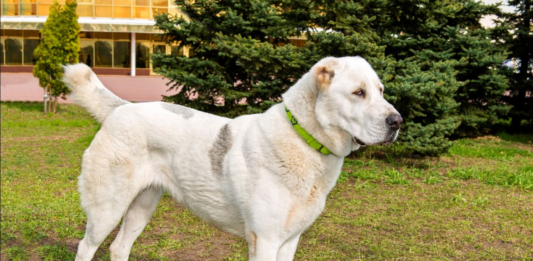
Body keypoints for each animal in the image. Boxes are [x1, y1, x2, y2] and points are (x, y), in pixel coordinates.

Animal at [62, 55, 402, 258]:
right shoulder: (265, 241)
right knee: (86, 247)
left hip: (141, 208)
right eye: (358, 92)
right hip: (107, 210)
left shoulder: (290, 240)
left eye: (381, 91)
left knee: (118, 248)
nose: (397, 122)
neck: (304, 141)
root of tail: (121, 108)